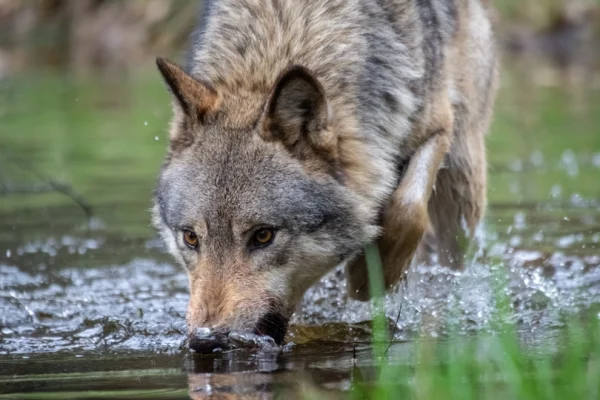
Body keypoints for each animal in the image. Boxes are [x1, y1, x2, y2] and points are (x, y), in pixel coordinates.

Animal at [152, 0, 500, 352]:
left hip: (462, 179)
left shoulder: (438, 125)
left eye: (263, 235)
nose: (206, 341)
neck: (283, 33)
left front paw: (369, 277)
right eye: (190, 238)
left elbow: (407, 208)